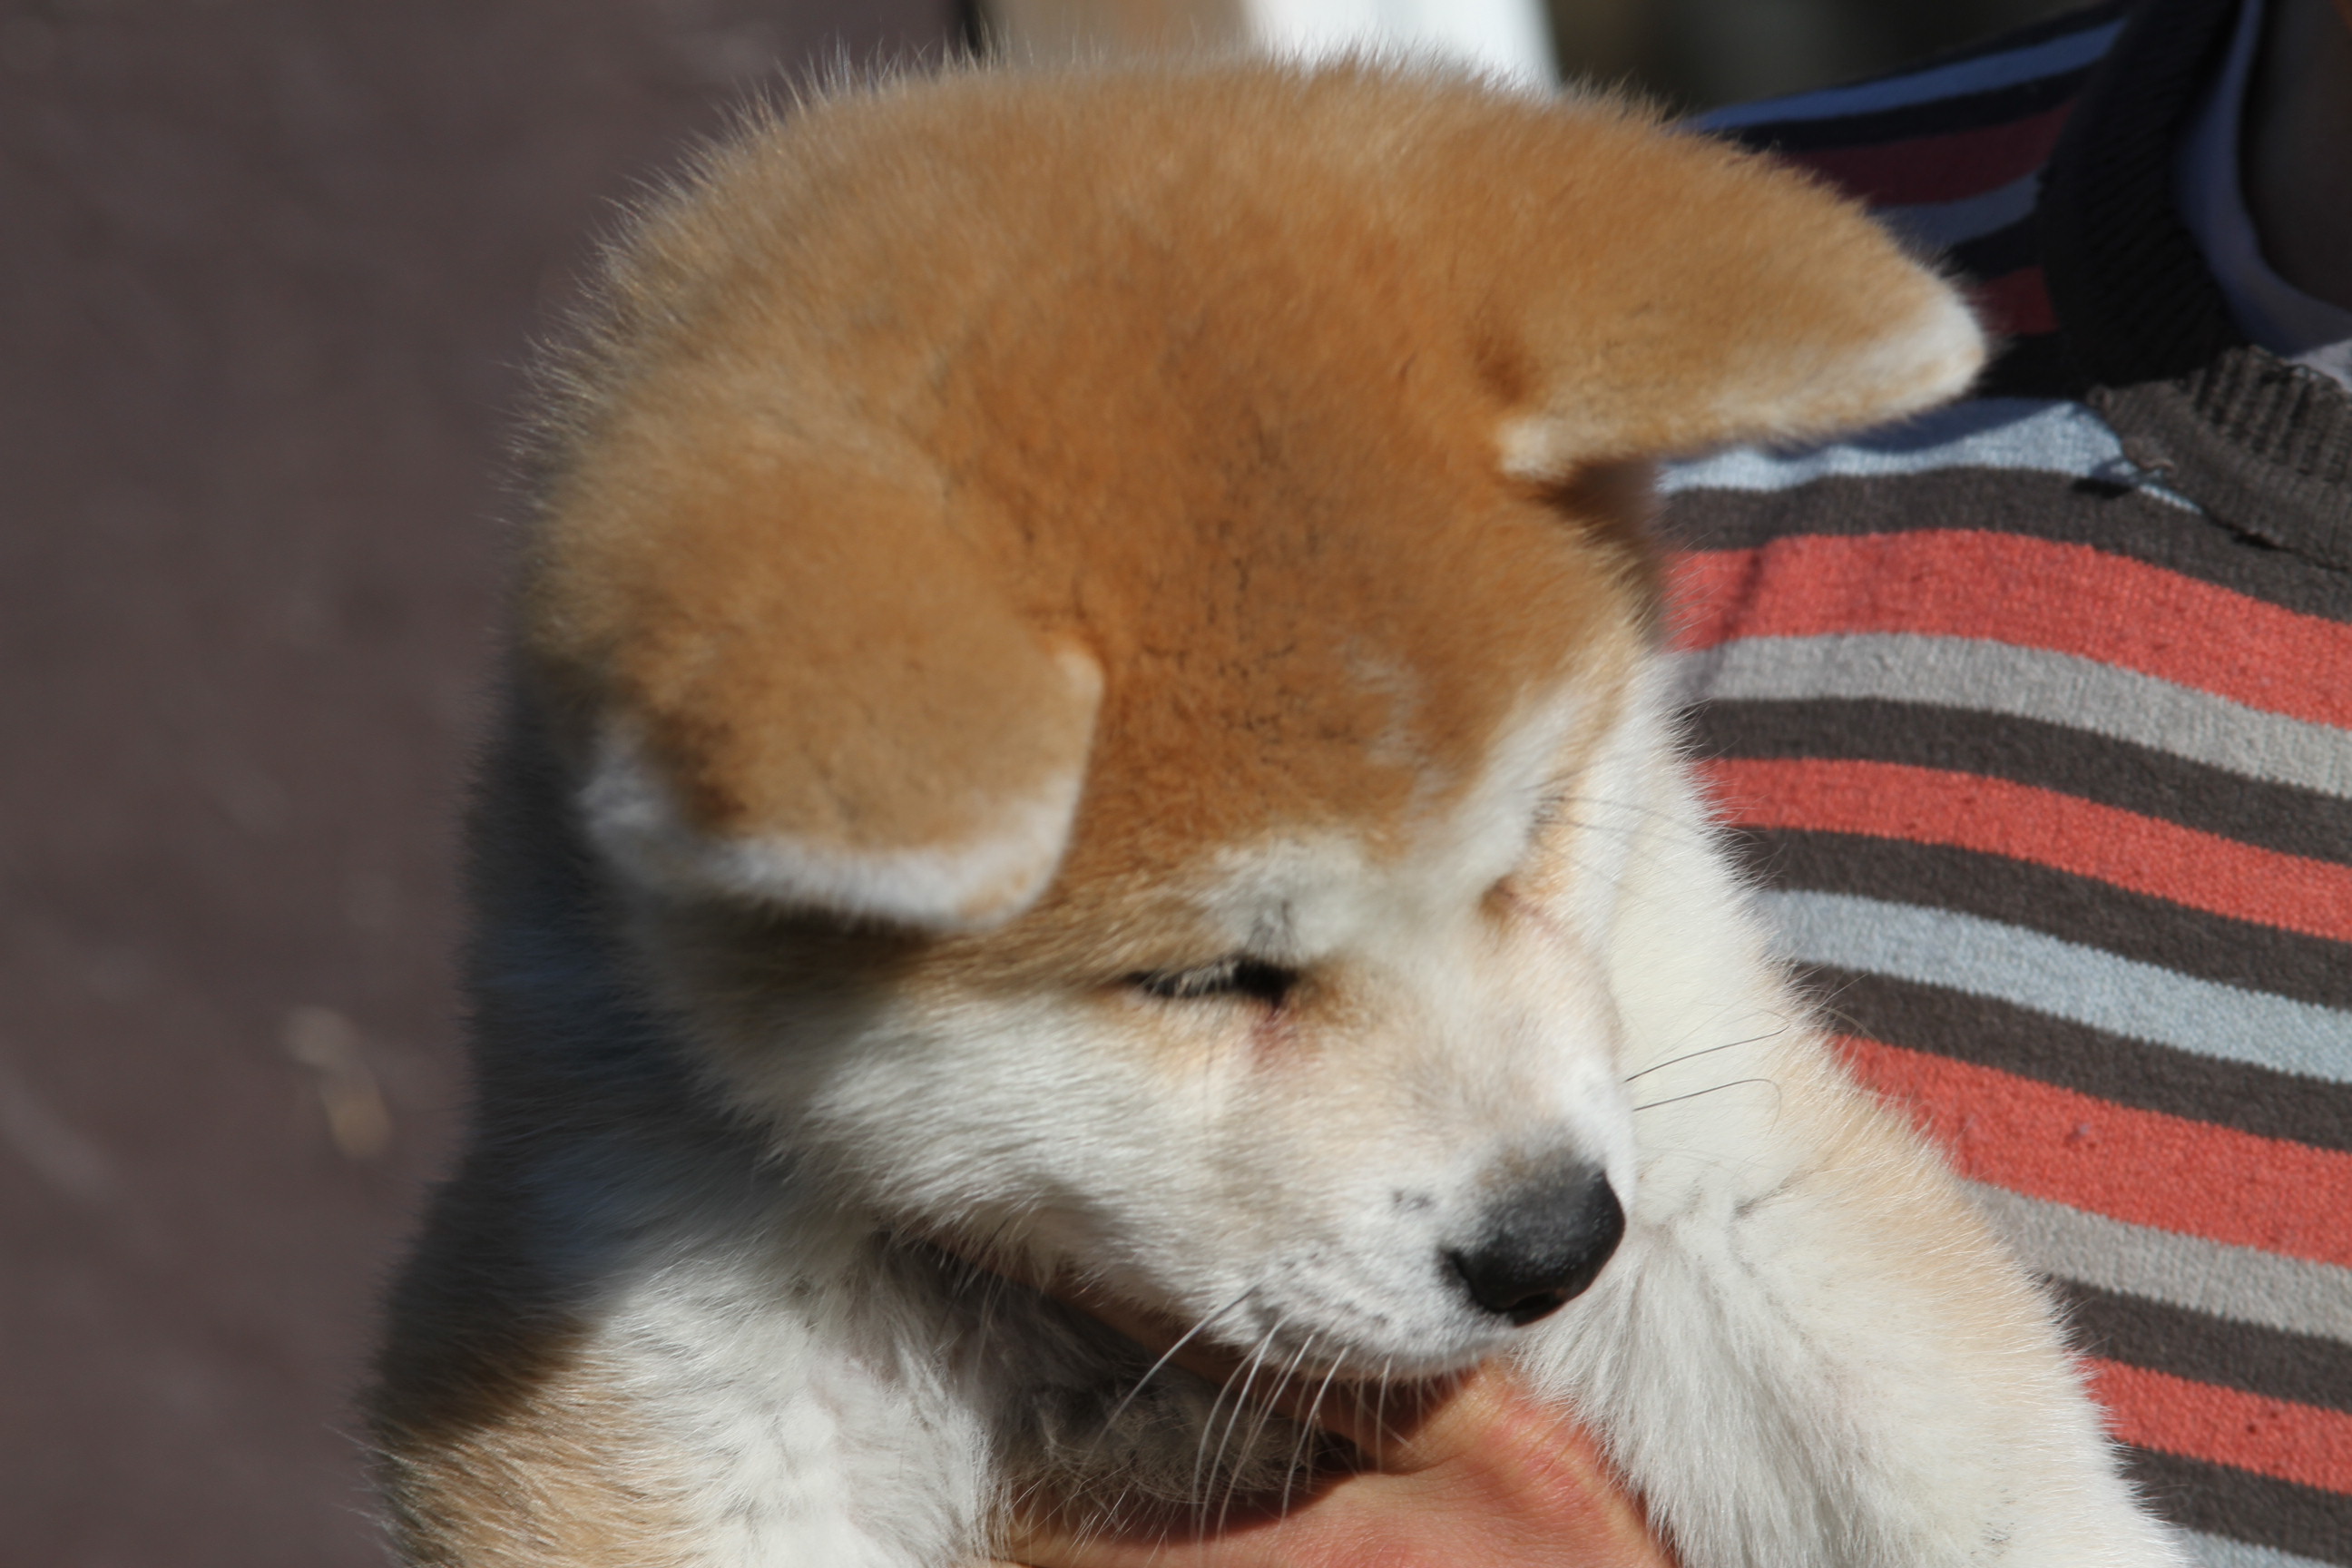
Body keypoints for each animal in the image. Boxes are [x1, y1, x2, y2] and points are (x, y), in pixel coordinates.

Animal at [370, 61, 2190, 1568]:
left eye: (1530, 841)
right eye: (1199, 979)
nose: (1549, 1245)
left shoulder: (1698, 1128)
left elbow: (1947, 1452)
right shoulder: (669, 1307)